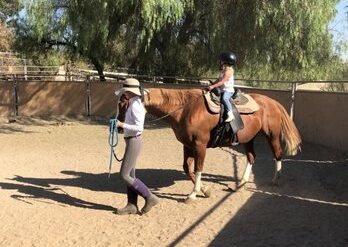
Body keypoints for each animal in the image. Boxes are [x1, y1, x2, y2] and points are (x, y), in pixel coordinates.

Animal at [115, 88, 300, 202]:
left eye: (123, 104)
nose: (119, 127)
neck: (184, 109)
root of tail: (272, 102)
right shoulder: (187, 145)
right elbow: (187, 168)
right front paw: (205, 190)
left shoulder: (200, 146)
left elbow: (198, 168)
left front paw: (193, 194)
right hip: (248, 138)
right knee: (251, 157)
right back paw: (241, 184)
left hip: (272, 135)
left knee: (277, 154)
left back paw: (275, 179)